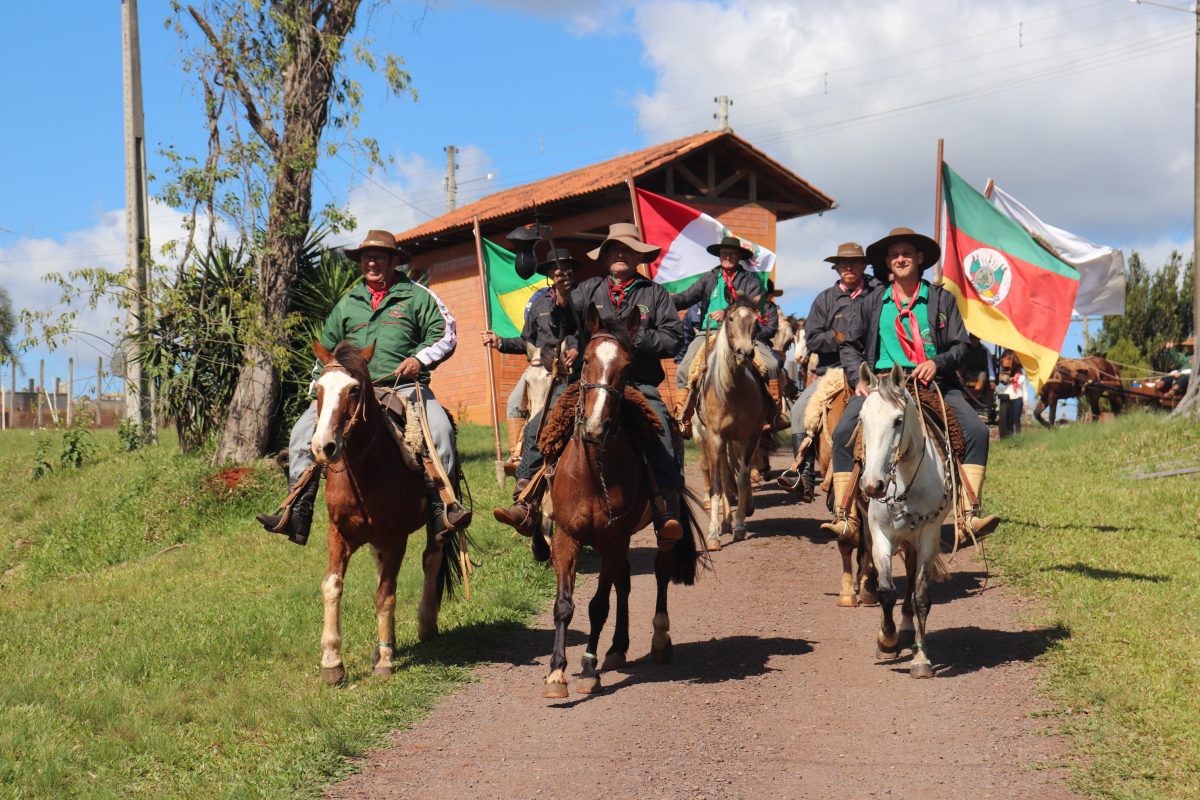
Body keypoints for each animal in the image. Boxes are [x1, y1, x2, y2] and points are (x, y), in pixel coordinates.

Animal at [309, 340, 463, 686]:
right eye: (318, 389)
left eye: (353, 389)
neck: (365, 471)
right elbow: (332, 586)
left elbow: (385, 595)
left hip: (435, 525)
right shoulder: (339, 533)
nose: (323, 447)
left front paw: (384, 661)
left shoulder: (396, 538)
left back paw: (425, 623)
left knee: (431, 560)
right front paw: (332, 662)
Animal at [540, 307, 700, 700]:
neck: (592, 471)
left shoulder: (615, 537)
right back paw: (616, 648)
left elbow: (598, 605)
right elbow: (564, 605)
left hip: (656, 532)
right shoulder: (567, 536)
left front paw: (587, 669)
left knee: (659, 572)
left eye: (627, 367)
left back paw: (659, 640)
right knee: (624, 582)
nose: (595, 427)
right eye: (584, 361)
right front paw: (556, 673)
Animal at [696, 293, 768, 551]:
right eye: (730, 318)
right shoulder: (715, 437)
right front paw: (713, 535)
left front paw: (739, 526)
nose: (744, 353)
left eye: (756, 322)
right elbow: (718, 484)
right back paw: (723, 522)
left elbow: (742, 477)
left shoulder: (750, 437)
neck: (733, 391)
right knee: (724, 476)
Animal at [859, 367, 950, 681]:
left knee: (911, 577)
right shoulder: (881, 535)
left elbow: (921, 595)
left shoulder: (929, 535)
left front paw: (921, 659)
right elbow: (887, 591)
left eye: (898, 420)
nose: (873, 485)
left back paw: (909, 626)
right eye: (862, 418)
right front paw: (887, 641)